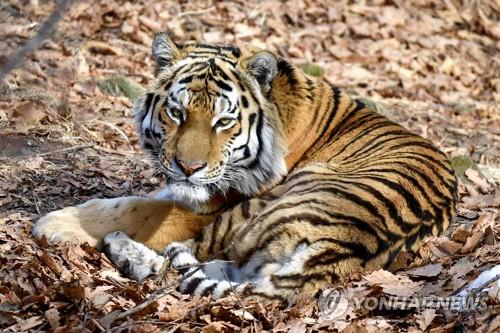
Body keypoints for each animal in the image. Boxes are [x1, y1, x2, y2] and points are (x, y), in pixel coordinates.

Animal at [32, 32, 458, 300]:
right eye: (177, 112)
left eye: (223, 121)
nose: (188, 167)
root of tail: (333, 254)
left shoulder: (204, 208)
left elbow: (135, 207)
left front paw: (55, 224)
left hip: (263, 207)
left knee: (173, 260)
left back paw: (121, 247)